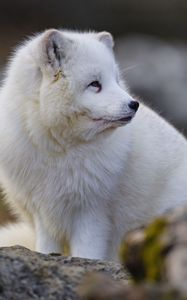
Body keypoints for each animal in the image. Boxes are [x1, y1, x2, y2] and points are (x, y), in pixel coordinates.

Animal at [0, 28, 187, 260]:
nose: (134, 104)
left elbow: (87, 253)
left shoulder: (92, 213)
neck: (59, 151)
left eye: (116, 80)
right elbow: (45, 249)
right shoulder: (43, 213)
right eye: (94, 84)